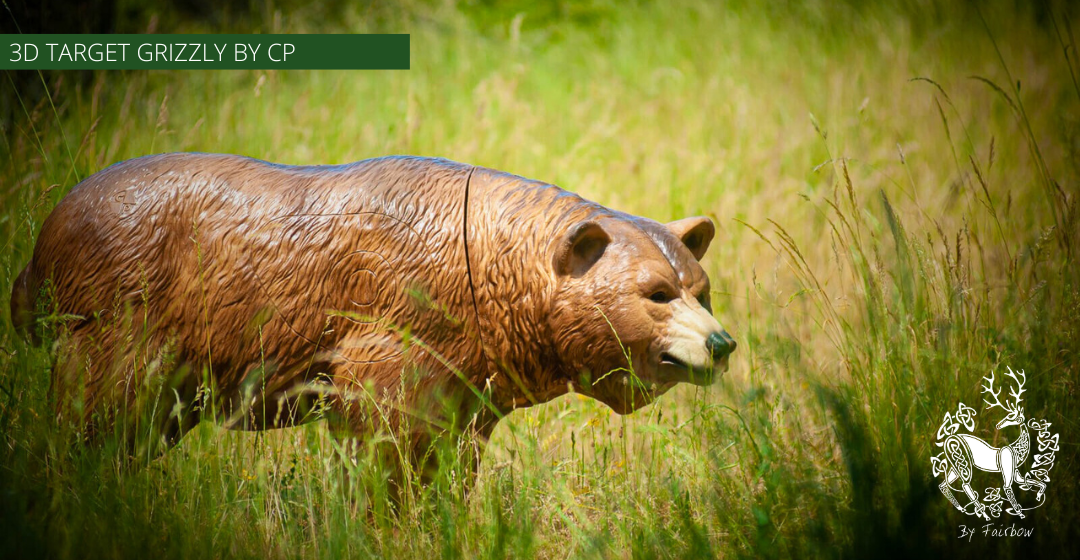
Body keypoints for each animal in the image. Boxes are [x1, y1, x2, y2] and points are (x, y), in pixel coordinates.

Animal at [10, 153, 736, 488]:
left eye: (701, 290)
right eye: (656, 292)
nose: (722, 342)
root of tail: (46, 238)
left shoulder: (469, 379)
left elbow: (450, 460)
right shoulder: (391, 335)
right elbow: (383, 446)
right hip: (122, 316)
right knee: (95, 413)